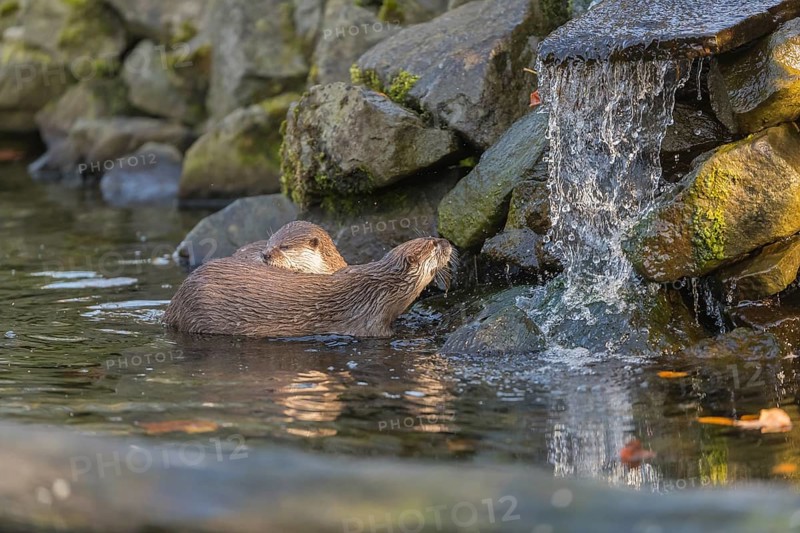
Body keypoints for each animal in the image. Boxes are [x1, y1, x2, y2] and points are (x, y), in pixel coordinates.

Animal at [164, 237, 453, 338]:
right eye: (433, 244)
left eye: (433, 237)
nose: (447, 241)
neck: (378, 291)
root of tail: (175, 301)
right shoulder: (370, 324)